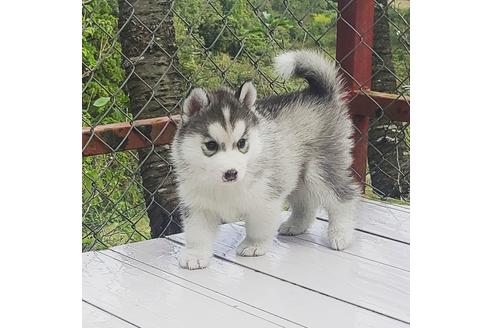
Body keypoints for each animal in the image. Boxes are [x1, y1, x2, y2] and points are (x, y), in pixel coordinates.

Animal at [171, 49, 360, 270]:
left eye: (242, 143)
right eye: (211, 146)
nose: (231, 173)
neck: (225, 187)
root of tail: (319, 94)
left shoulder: (265, 198)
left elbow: (258, 227)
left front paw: (254, 246)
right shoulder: (197, 204)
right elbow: (197, 233)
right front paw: (195, 255)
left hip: (321, 168)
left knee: (344, 196)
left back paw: (341, 234)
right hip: (294, 173)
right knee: (306, 202)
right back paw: (295, 225)